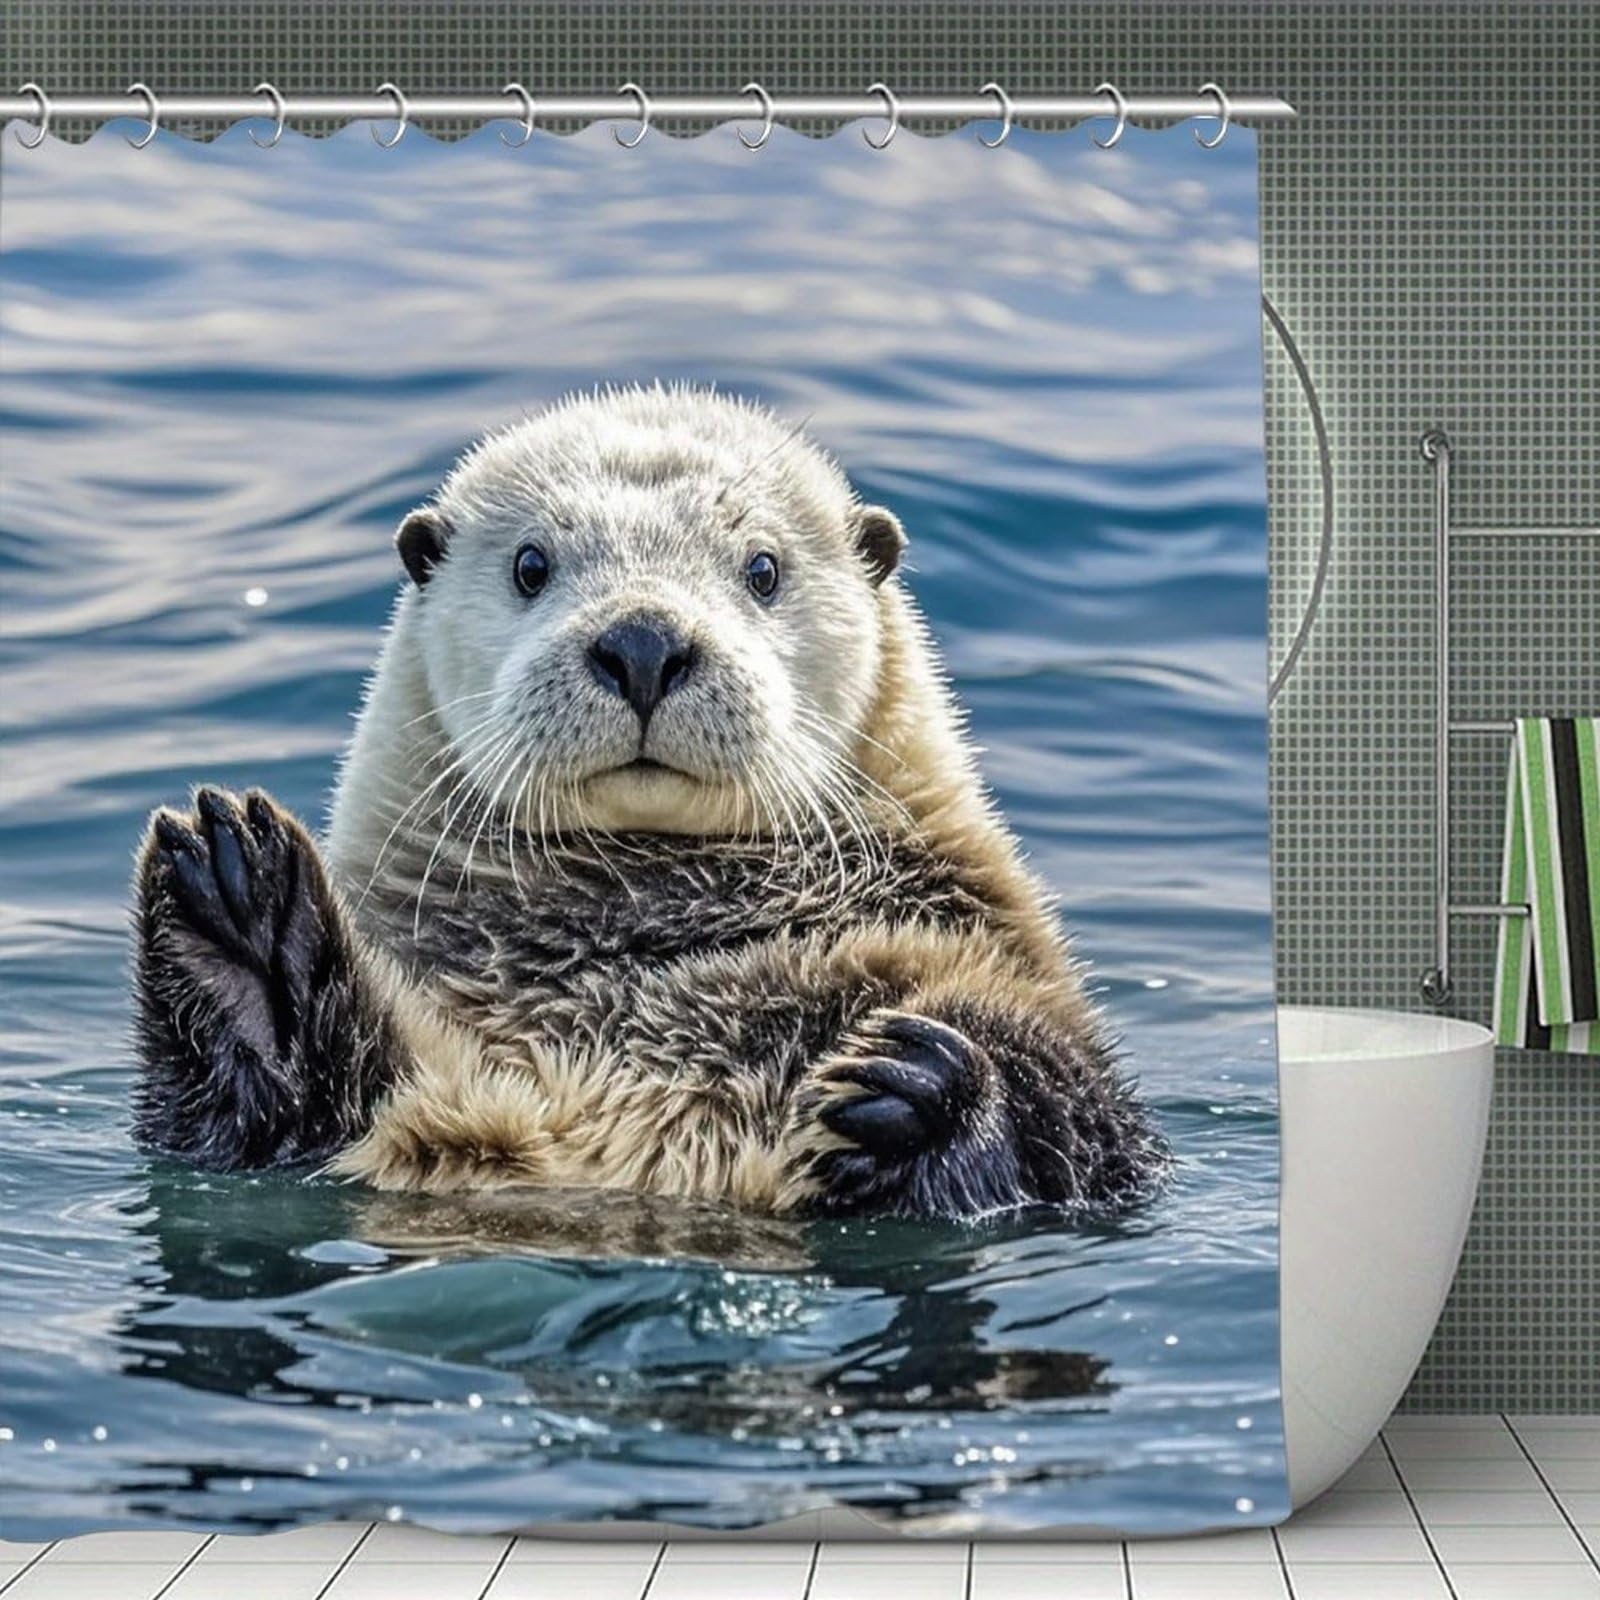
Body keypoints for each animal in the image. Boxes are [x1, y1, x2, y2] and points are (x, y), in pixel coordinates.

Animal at [131, 386, 1167, 1220]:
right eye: (531, 566)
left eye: (763, 568)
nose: (642, 641)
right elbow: (253, 1128)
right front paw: (236, 909)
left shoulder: (995, 952)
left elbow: (1086, 1116)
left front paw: (923, 1087)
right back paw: (246, 921)